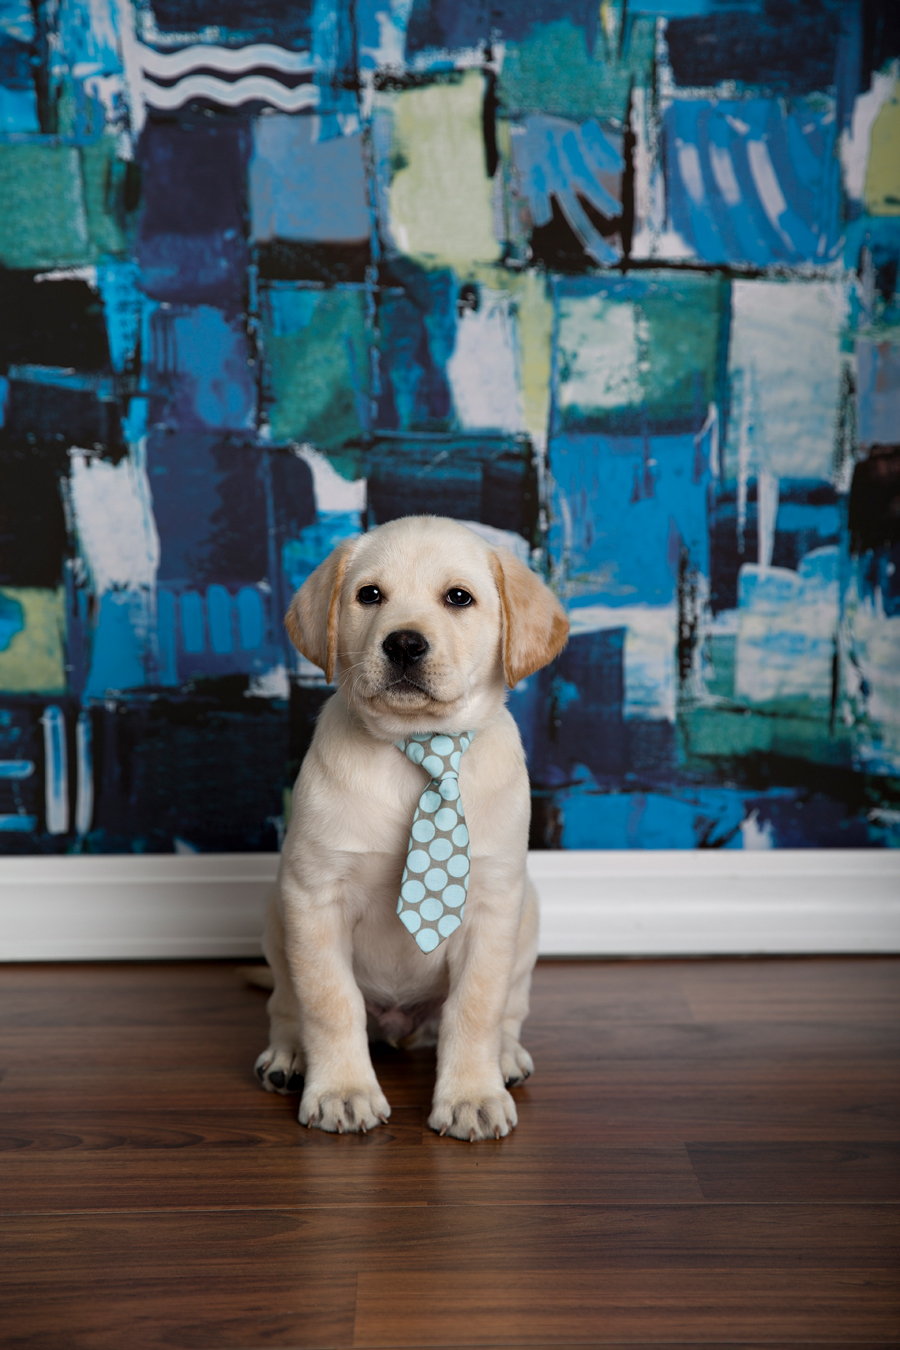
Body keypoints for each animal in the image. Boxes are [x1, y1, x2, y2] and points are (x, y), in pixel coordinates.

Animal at [254, 515, 568, 1140]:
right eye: (370, 595)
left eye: (459, 598)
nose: (403, 642)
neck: (418, 746)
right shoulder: (313, 896)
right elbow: (330, 1002)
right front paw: (342, 1090)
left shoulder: (493, 907)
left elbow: (475, 1008)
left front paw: (472, 1094)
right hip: (277, 915)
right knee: (286, 1004)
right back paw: (289, 1055)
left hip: (528, 922)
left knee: (509, 1008)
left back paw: (505, 1058)